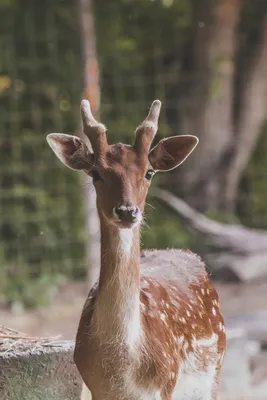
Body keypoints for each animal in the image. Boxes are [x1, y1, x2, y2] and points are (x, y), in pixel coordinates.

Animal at [47, 100, 227, 400]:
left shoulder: (165, 384)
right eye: (96, 173)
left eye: (149, 172)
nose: (127, 211)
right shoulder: (95, 388)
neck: (123, 368)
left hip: (215, 370)